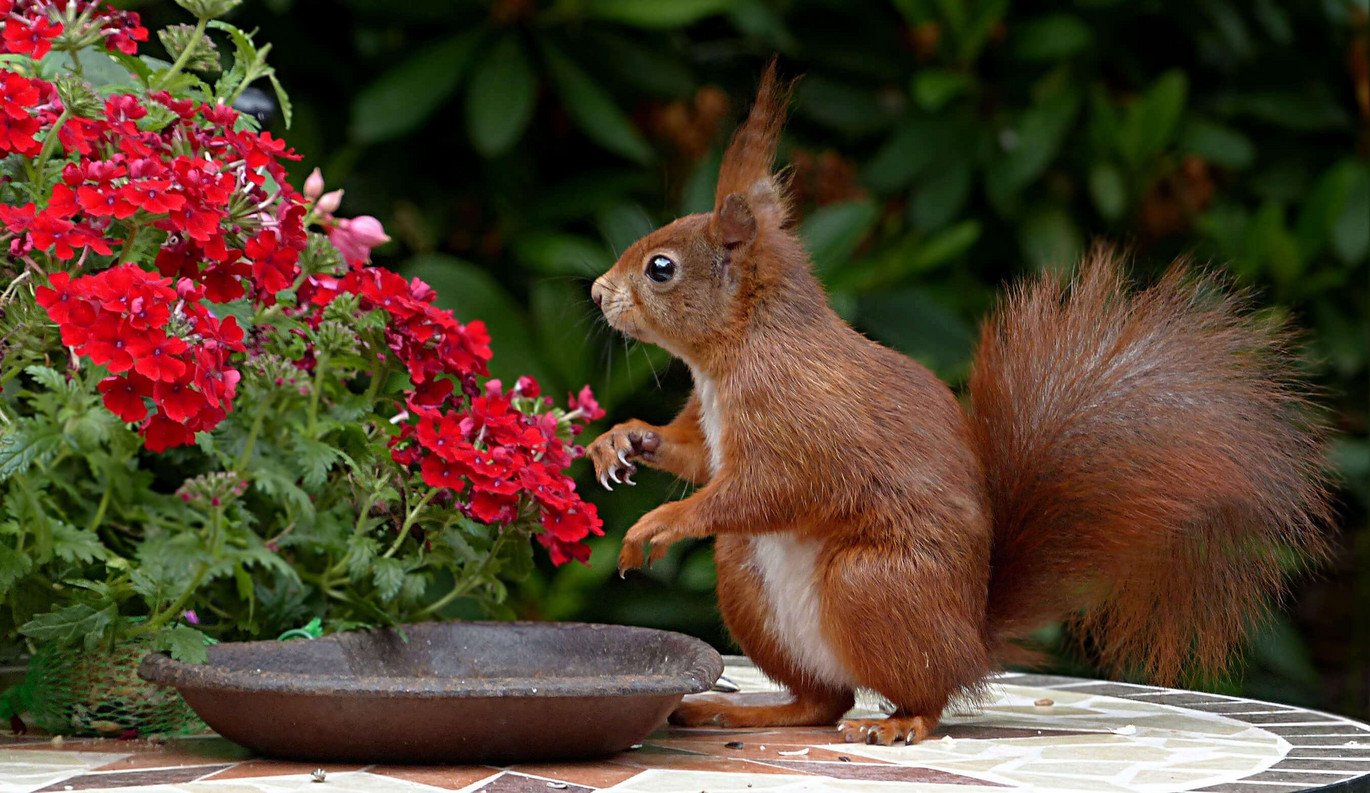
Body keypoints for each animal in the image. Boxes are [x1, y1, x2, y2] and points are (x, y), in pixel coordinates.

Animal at [586, 66, 1326, 745]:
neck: (735, 352)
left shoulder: (801, 414)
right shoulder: (713, 425)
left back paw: (898, 721)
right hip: (746, 579)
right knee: (821, 700)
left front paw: (662, 521)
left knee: (921, 693)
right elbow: (696, 456)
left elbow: (774, 486)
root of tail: (972, 640)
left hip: (871, 583)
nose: (596, 292)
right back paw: (740, 710)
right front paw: (621, 440)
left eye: (660, 268)